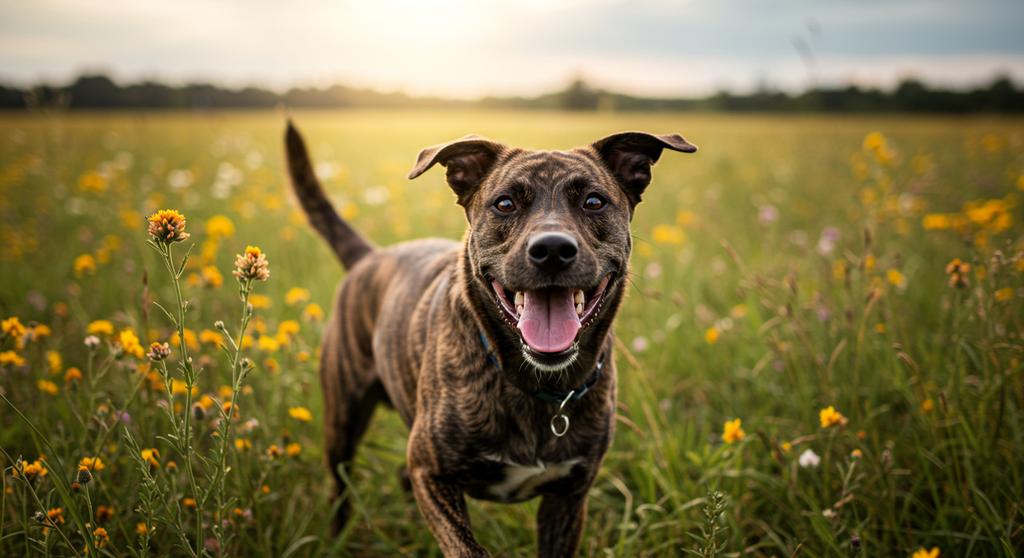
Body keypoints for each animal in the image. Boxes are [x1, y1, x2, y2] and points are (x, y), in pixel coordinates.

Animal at [286, 122, 696, 556]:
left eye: (594, 201)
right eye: (504, 204)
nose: (552, 249)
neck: (536, 383)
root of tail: (370, 257)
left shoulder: (569, 497)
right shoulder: (431, 472)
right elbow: (467, 547)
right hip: (342, 419)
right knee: (340, 486)